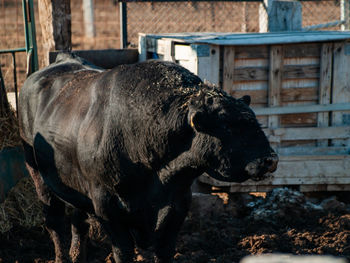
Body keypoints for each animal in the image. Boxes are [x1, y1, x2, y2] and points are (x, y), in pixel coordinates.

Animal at [18, 54, 276, 263]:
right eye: (229, 127)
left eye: (254, 120)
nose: (270, 159)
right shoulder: (107, 207)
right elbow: (123, 252)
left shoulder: (178, 204)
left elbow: (164, 251)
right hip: (38, 176)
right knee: (55, 224)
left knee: (78, 223)